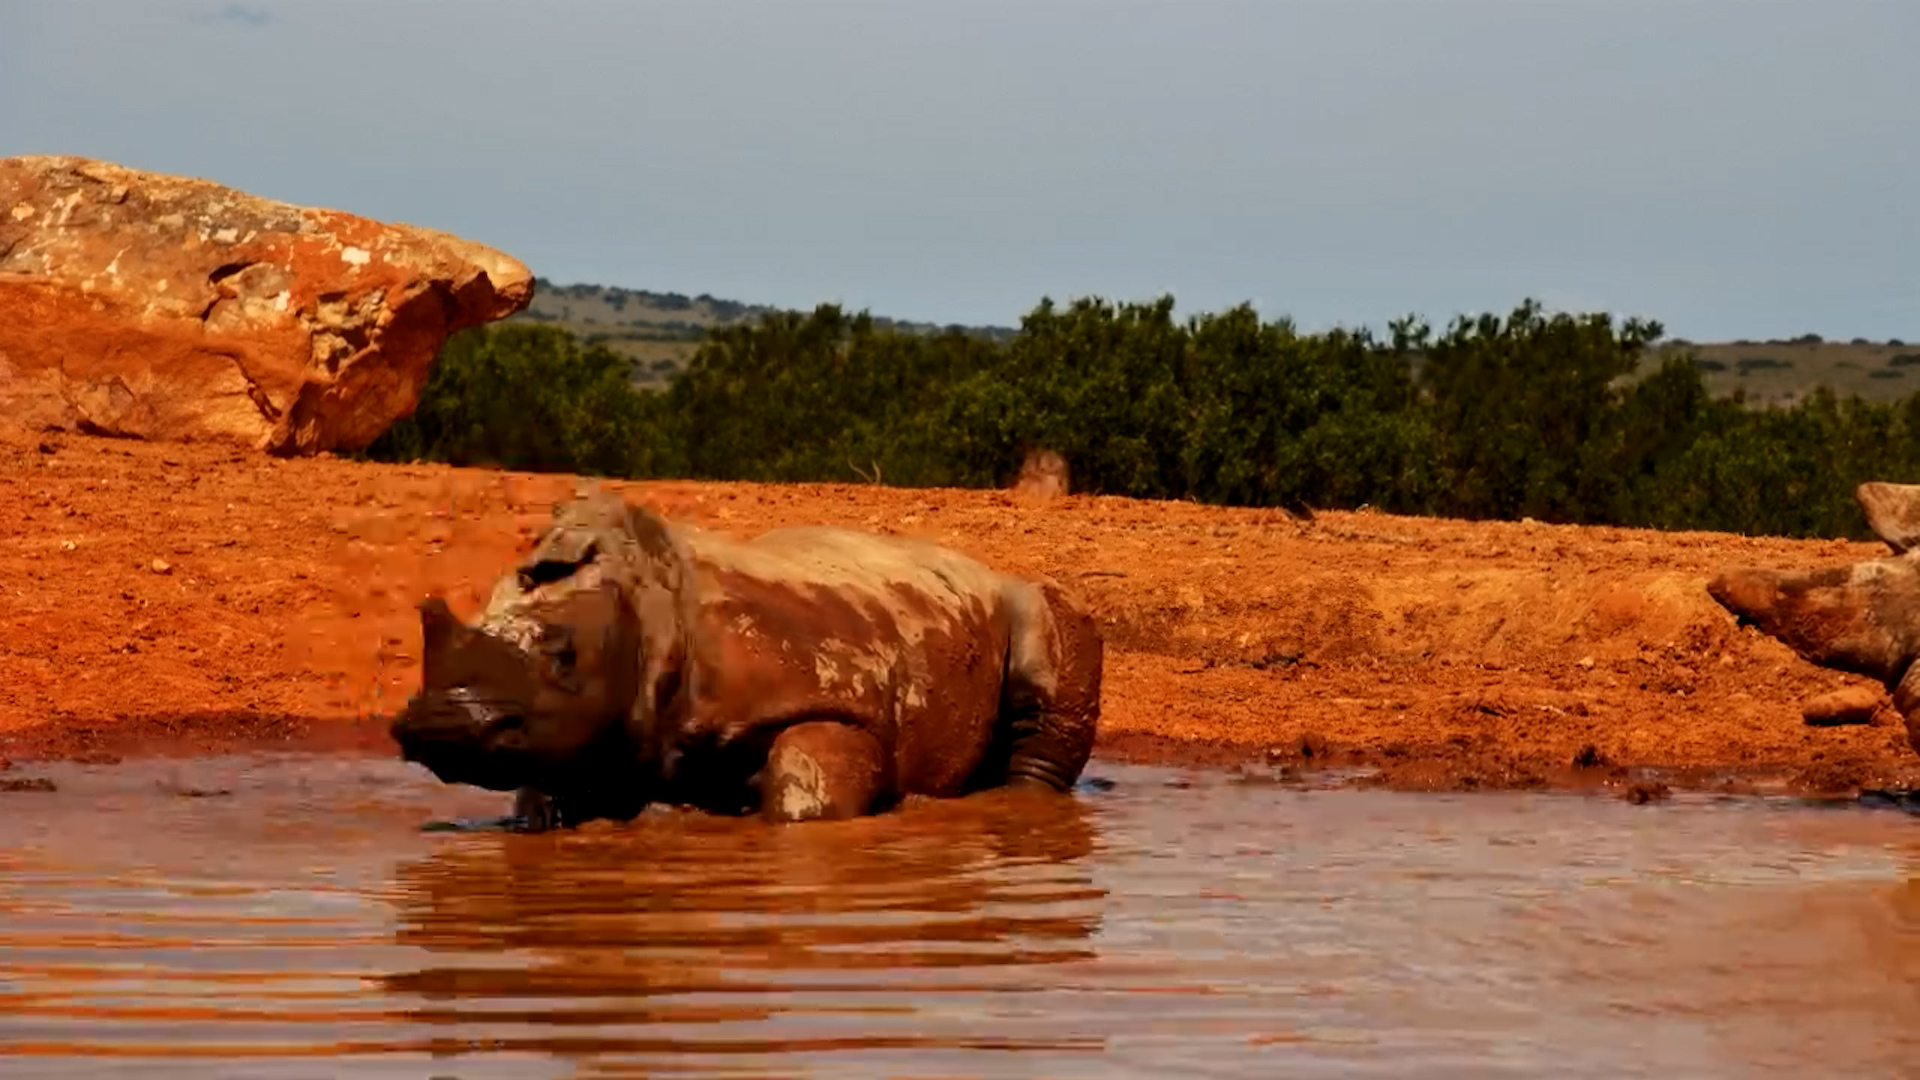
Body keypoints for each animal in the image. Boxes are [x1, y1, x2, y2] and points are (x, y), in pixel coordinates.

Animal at [388, 489, 1103, 828]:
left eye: (564, 658)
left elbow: (805, 789)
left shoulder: (829, 700)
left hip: (1026, 596)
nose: (437, 725)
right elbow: (540, 789)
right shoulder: (583, 730)